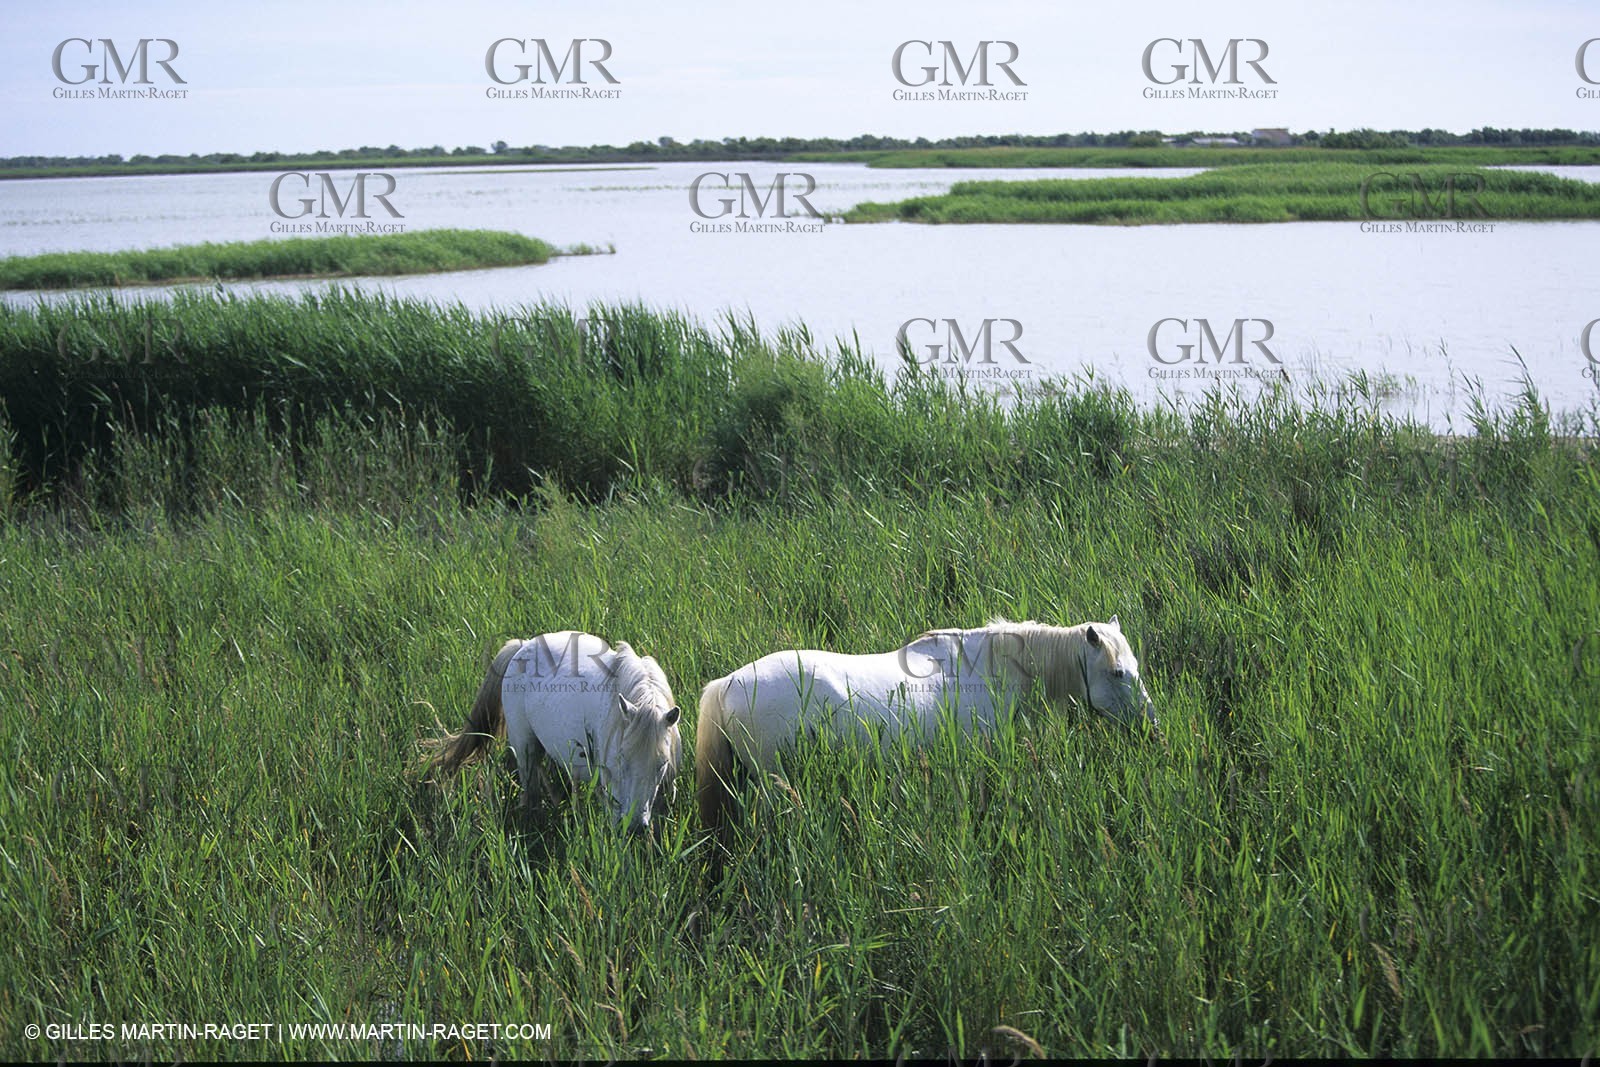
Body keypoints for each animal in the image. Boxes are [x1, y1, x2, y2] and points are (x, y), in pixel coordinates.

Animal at [425, 631, 682, 836]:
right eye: (622, 760)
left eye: (661, 765)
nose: (636, 827)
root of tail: (523, 645)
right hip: (524, 747)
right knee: (530, 788)